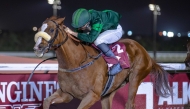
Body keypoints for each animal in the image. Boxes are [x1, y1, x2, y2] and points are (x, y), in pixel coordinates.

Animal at [33, 16, 171, 109]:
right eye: (39, 28)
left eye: (51, 30)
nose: (37, 47)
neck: (76, 62)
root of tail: (147, 54)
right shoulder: (66, 94)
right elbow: (46, 101)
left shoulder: (92, 95)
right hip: (110, 90)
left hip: (136, 78)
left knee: (129, 103)